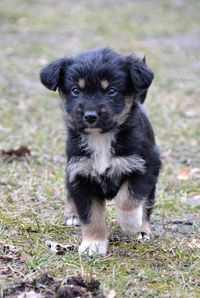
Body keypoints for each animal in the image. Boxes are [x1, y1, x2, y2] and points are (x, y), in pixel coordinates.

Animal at [40, 47, 161, 255]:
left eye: (111, 91)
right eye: (76, 90)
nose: (90, 116)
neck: (100, 138)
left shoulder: (145, 167)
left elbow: (128, 199)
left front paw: (130, 223)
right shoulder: (79, 174)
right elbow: (90, 216)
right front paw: (93, 244)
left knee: (146, 204)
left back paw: (142, 230)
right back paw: (71, 214)